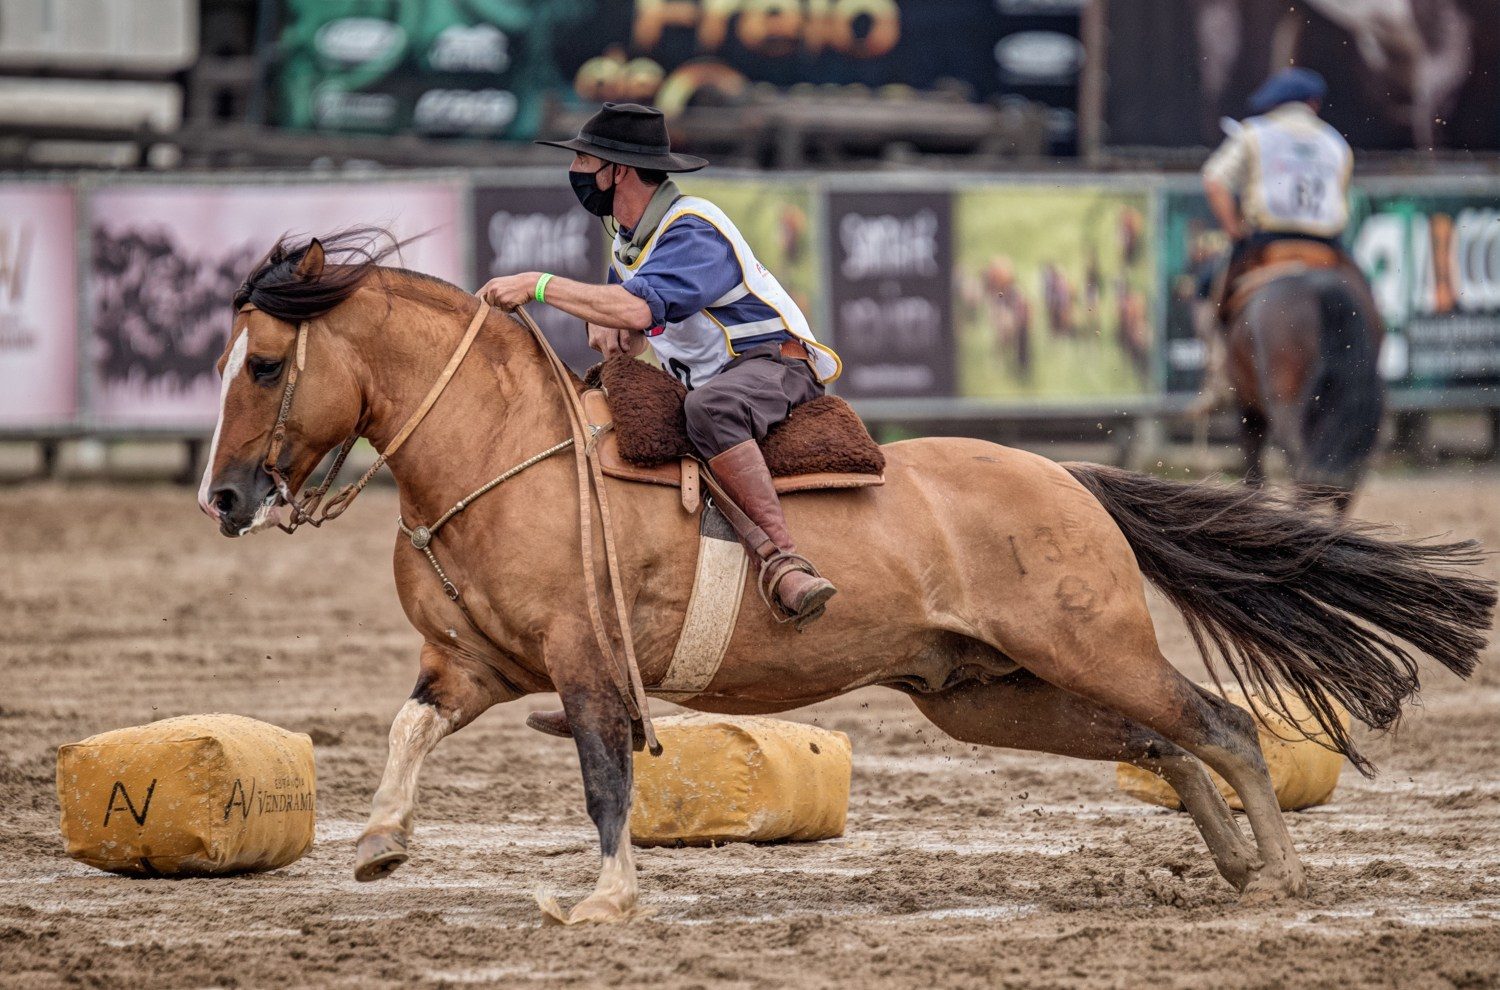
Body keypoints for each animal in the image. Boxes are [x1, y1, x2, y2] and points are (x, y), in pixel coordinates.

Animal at [202, 229, 1500, 918]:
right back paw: (1227, 863)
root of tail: (1067, 478)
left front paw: (605, 900)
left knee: (1220, 725)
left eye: (263, 364)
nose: (223, 499)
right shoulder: (472, 663)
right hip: (991, 694)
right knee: (1167, 746)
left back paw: (1276, 876)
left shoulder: (583, 664)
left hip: (1093, 647)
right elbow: (409, 725)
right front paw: (380, 841)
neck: (502, 449)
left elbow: (604, 779)